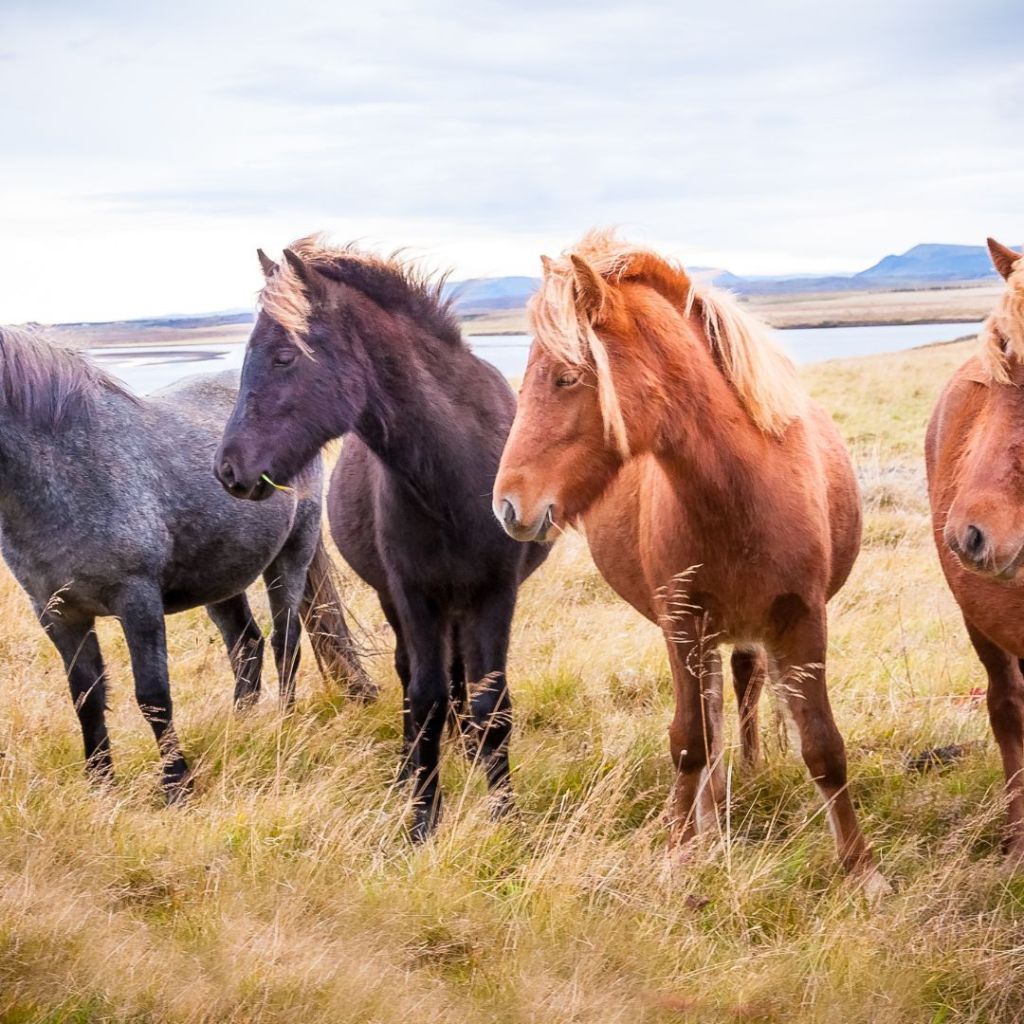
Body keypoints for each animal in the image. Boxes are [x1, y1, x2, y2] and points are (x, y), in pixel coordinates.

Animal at [0, 325, 372, 801]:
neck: (65, 467)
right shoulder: (58, 613)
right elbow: (86, 698)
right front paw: (101, 784)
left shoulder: (137, 601)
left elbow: (153, 696)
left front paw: (177, 784)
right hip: (223, 577)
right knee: (245, 645)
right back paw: (242, 725)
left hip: (292, 555)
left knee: (284, 640)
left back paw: (285, 722)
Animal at [214, 238, 548, 840]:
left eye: (284, 357)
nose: (228, 470)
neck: (454, 473)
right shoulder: (412, 594)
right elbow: (425, 696)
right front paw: (421, 817)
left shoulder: (495, 593)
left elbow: (491, 701)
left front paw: (505, 814)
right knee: (414, 678)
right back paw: (408, 769)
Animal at [492, 231, 884, 887]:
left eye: (568, 377)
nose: (507, 505)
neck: (744, 488)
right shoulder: (682, 623)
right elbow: (690, 742)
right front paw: (681, 854)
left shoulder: (803, 620)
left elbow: (823, 746)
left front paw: (862, 871)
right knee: (712, 714)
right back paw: (710, 812)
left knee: (744, 687)